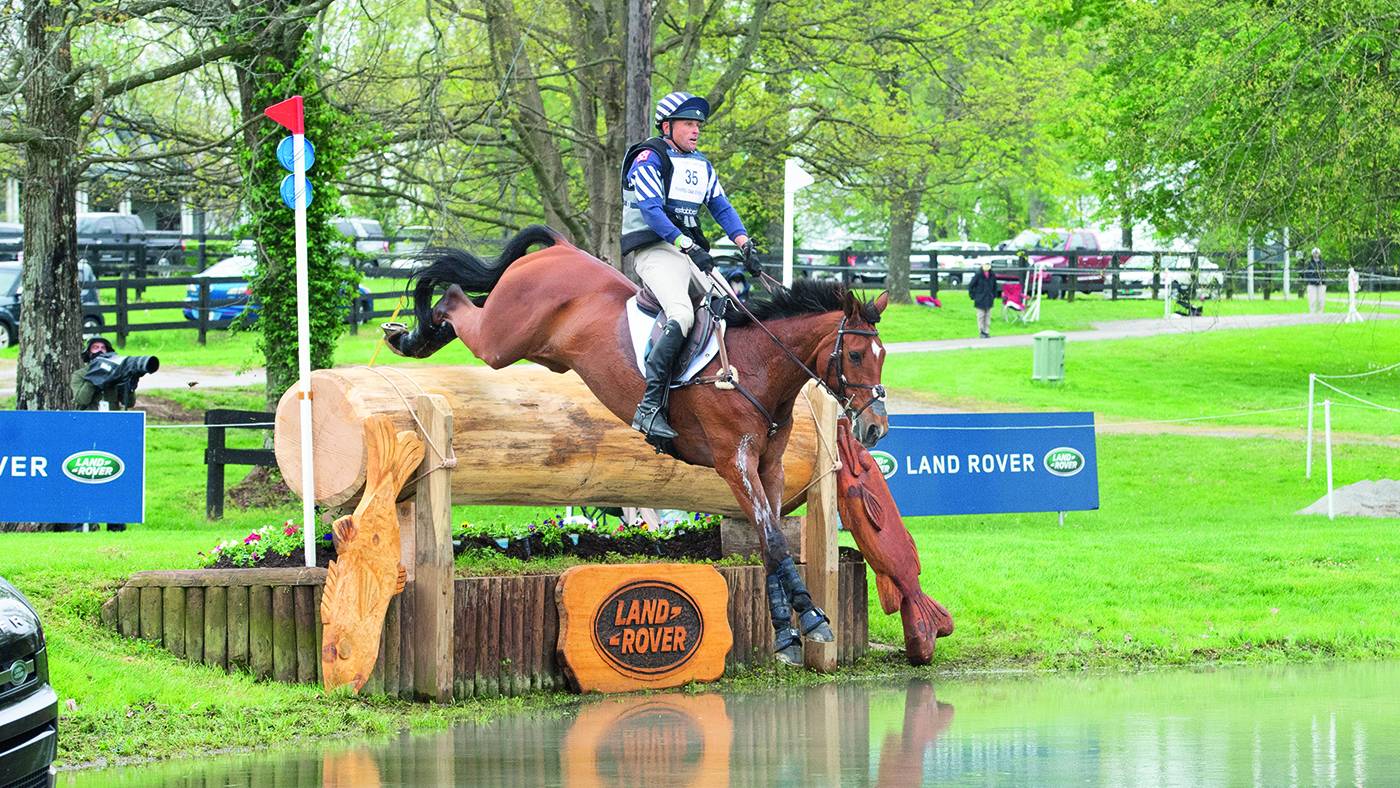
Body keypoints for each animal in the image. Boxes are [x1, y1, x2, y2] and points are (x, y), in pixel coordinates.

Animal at [383, 223, 884, 666]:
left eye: (881, 357)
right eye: (856, 355)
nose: (875, 428)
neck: (757, 366)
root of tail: (560, 247)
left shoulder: (769, 469)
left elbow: (769, 542)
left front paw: (786, 630)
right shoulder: (734, 464)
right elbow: (776, 542)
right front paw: (810, 618)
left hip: (530, 346)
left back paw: (417, 336)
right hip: (501, 341)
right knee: (455, 298)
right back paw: (409, 336)